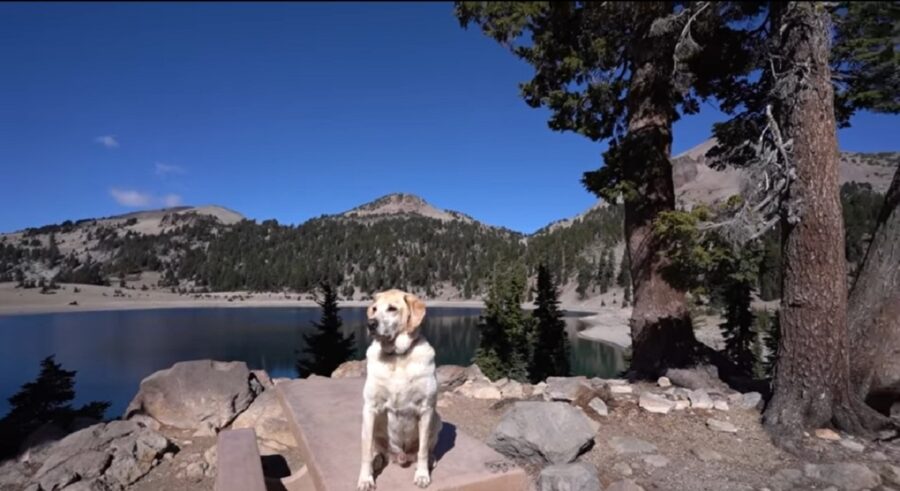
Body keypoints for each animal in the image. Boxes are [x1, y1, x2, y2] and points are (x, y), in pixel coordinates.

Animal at [358, 290, 442, 490]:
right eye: (374, 309)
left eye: (392, 309)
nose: (370, 324)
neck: (396, 357)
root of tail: (401, 457)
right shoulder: (370, 408)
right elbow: (366, 451)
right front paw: (366, 478)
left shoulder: (426, 409)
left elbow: (423, 449)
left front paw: (422, 475)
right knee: (377, 451)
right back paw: (377, 461)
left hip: (437, 420)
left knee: (426, 449)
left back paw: (429, 461)